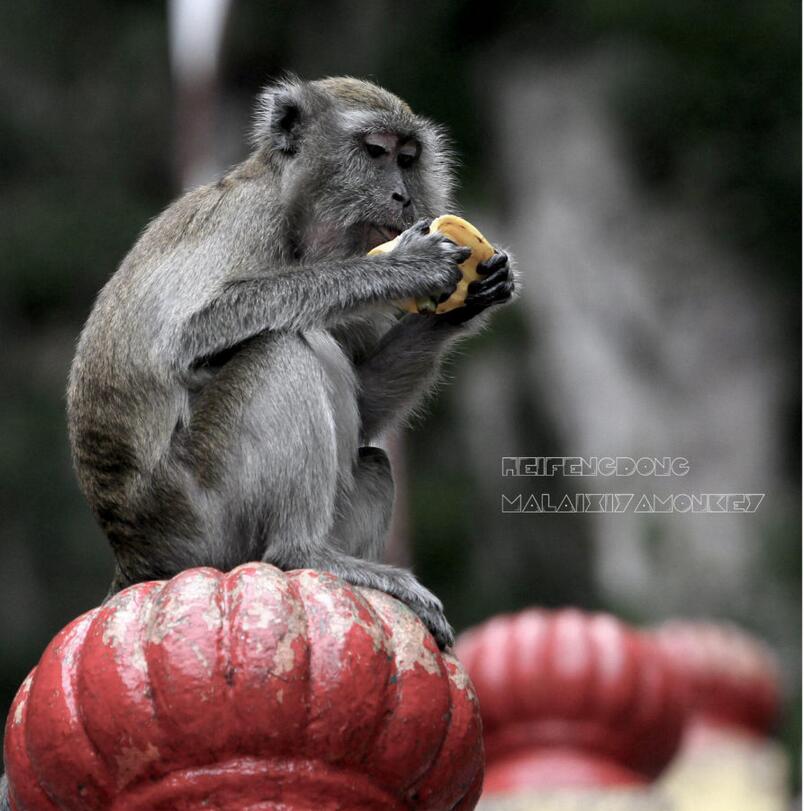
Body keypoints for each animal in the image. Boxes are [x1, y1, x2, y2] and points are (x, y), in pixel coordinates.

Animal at [66, 74, 512, 648]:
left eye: (408, 158)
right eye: (375, 151)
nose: (403, 195)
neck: (297, 219)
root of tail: (135, 556)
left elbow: (367, 406)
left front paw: (469, 300)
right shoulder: (249, 216)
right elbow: (190, 335)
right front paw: (405, 267)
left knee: (373, 458)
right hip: (202, 515)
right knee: (279, 348)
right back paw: (302, 553)